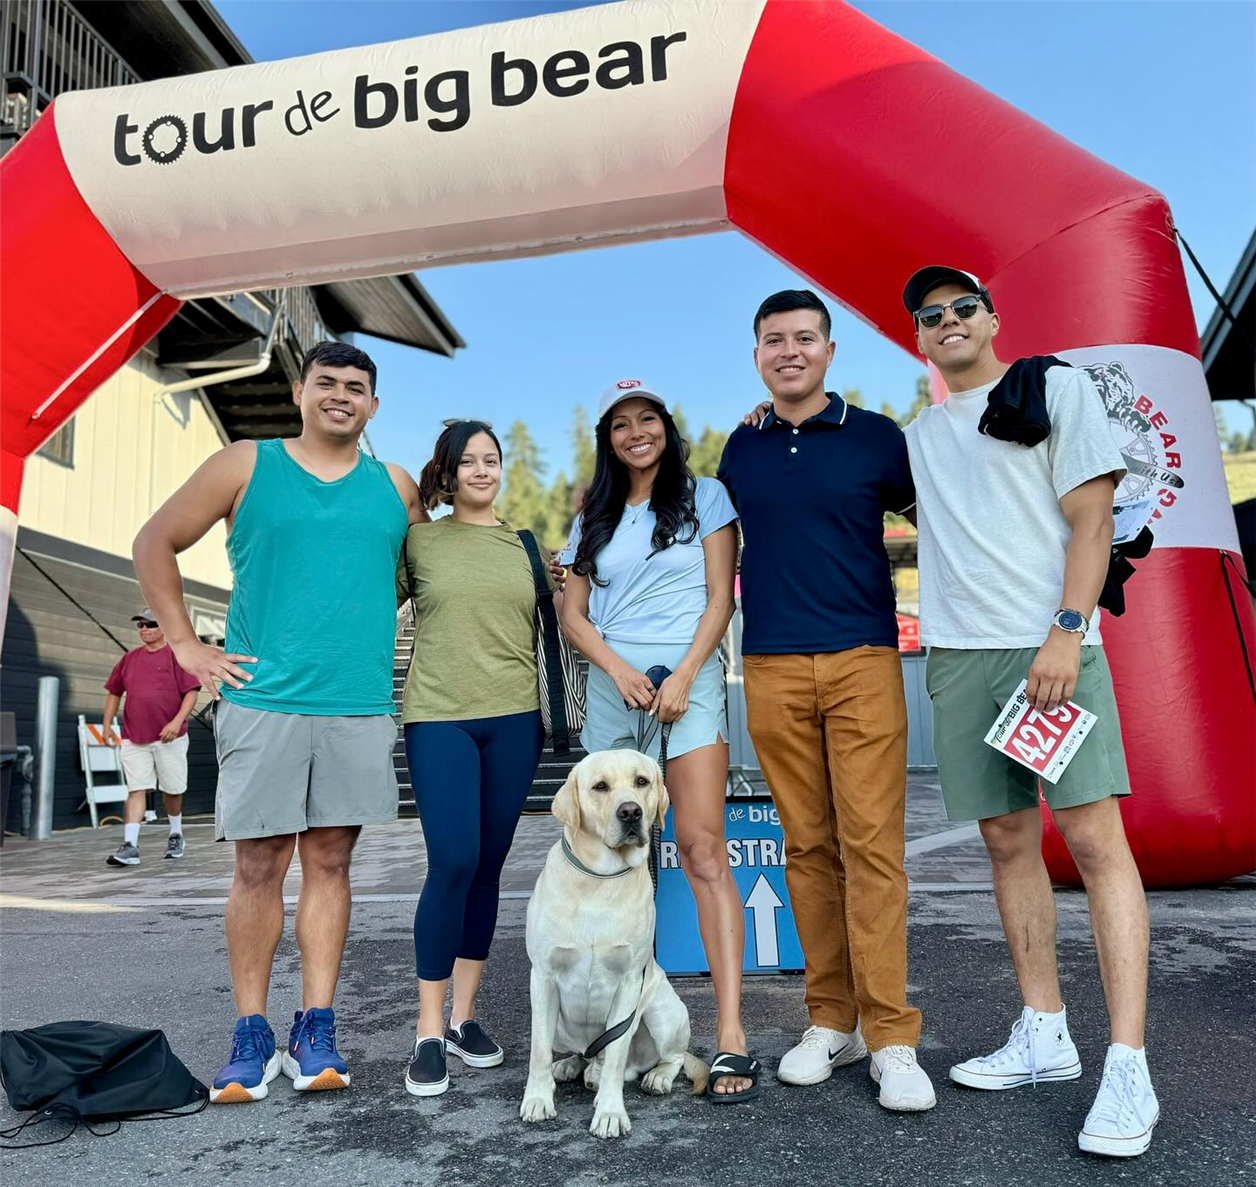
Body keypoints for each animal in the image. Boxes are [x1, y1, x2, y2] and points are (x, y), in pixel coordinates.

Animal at [514, 748, 703, 1140]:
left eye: (642, 781)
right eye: (600, 787)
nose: (631, 812)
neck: (599, 879)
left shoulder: (630, 981)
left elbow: (616, 1053)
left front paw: (611, 1112)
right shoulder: (543, 977)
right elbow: (538, 1050)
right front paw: (538, 1098)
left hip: (660, 1010)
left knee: (667, 1057)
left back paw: (653, 1077)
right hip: (558, 1022)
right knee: (581, 1052)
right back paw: (573, 1066)